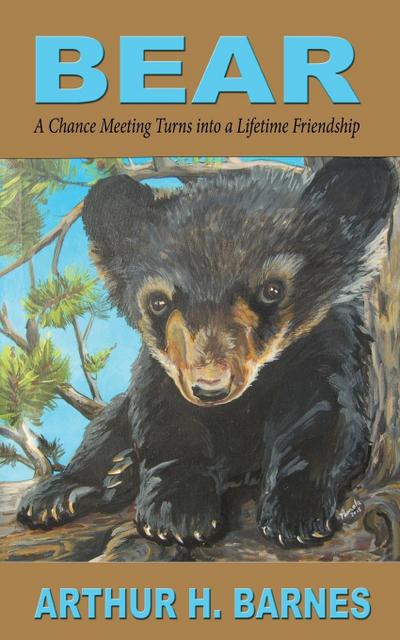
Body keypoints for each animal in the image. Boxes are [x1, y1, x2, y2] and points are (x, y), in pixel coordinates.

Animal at [17, 157, 399, 548]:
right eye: (158, 301)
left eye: (272, 289)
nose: (210, 387)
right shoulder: (162, 371)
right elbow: (165, 425)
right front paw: (176, 512)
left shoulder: (326, 351)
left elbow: (325, 421)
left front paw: (296, 511)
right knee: (102, 429)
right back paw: (70, 490)